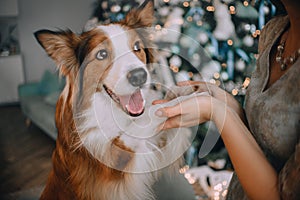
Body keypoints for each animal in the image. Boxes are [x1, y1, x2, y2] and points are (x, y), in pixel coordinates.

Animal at [35, 0, 190, 199]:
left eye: (137, 47)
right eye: (101, 54)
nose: (139, 76)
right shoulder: (110, 170)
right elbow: (134, 131)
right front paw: (169, 104)